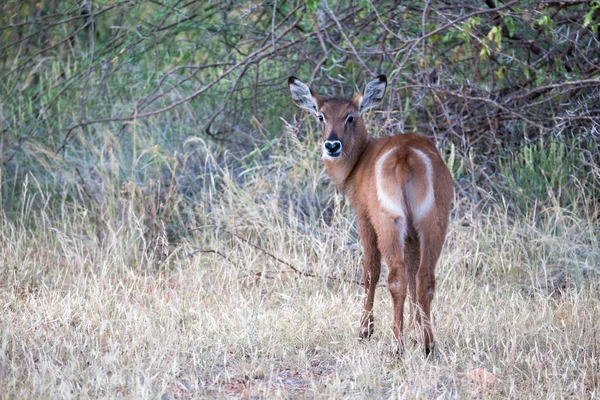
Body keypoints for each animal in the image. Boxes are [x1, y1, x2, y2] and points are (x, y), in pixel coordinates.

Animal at [288, 74, 452, 354]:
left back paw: (396, 345)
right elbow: (413, 274)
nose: (332, 145)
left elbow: (370, 272)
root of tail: (406, 155)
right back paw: (428, 344)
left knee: (395, 278)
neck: (360, 160)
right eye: (321, 116)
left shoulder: (363, 218)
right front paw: (415, 333)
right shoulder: (411, 235)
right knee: (424, 278)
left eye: (350, 116)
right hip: (432, 224)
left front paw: (365, 330)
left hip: (388, 224)